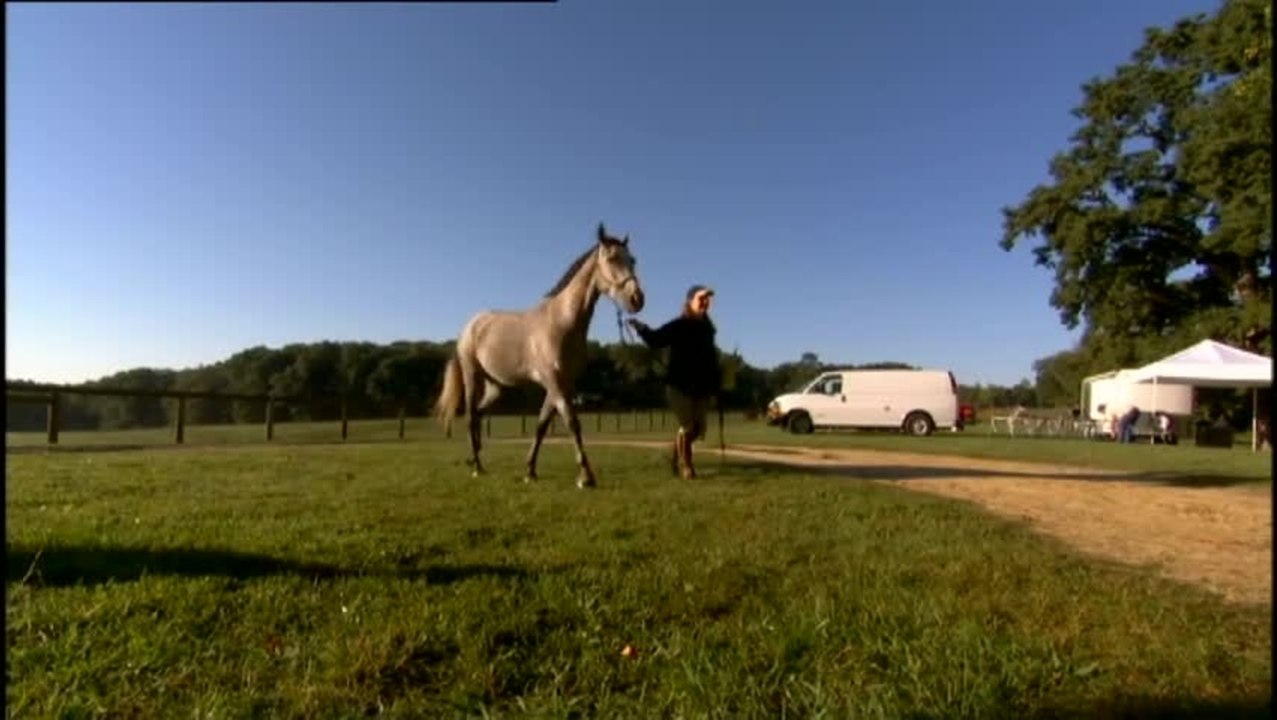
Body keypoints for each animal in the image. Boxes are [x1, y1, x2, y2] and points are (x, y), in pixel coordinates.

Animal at [433, 223, 646, 488]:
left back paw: (474, 459)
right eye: (612, 258)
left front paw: (530, 471)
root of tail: (469, 327)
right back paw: (477, 468)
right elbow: (572, 423)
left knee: (480, 414)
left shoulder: (562, 385)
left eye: (633, 260)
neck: (561, 322)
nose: (637, 299)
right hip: (473, 376)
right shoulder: (555, 383)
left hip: (496, 386)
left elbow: (541, 426)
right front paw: (586, 477)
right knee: (471, 416)